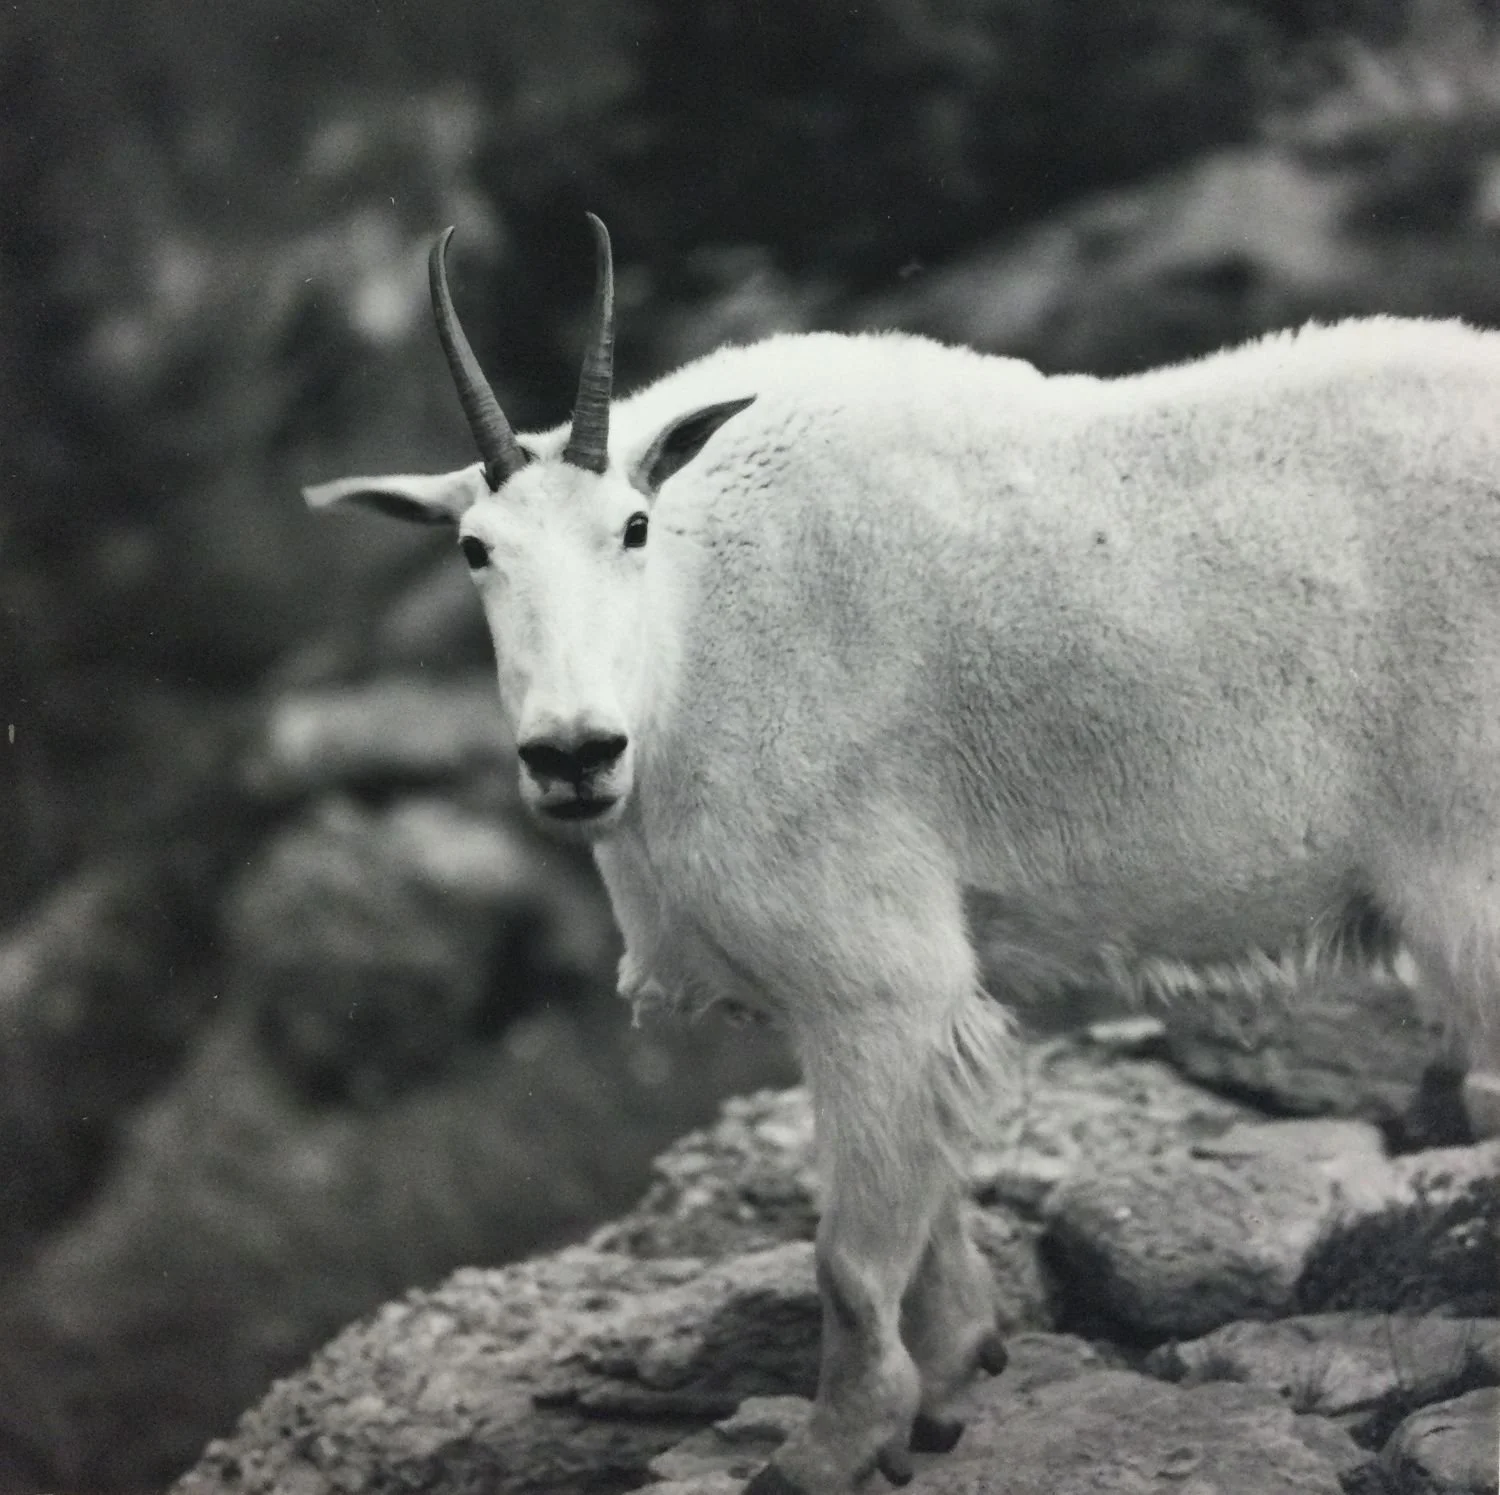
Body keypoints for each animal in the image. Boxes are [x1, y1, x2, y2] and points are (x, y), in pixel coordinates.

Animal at [305, 216, 1500, 1493]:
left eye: (631, 527)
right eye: (474, 550)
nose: (573, 753)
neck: (691, 636)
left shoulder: (869, 973)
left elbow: (846, 1253)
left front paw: (832, 1447)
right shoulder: (887, 998)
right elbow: (926, 1213)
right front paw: (952, 1378)